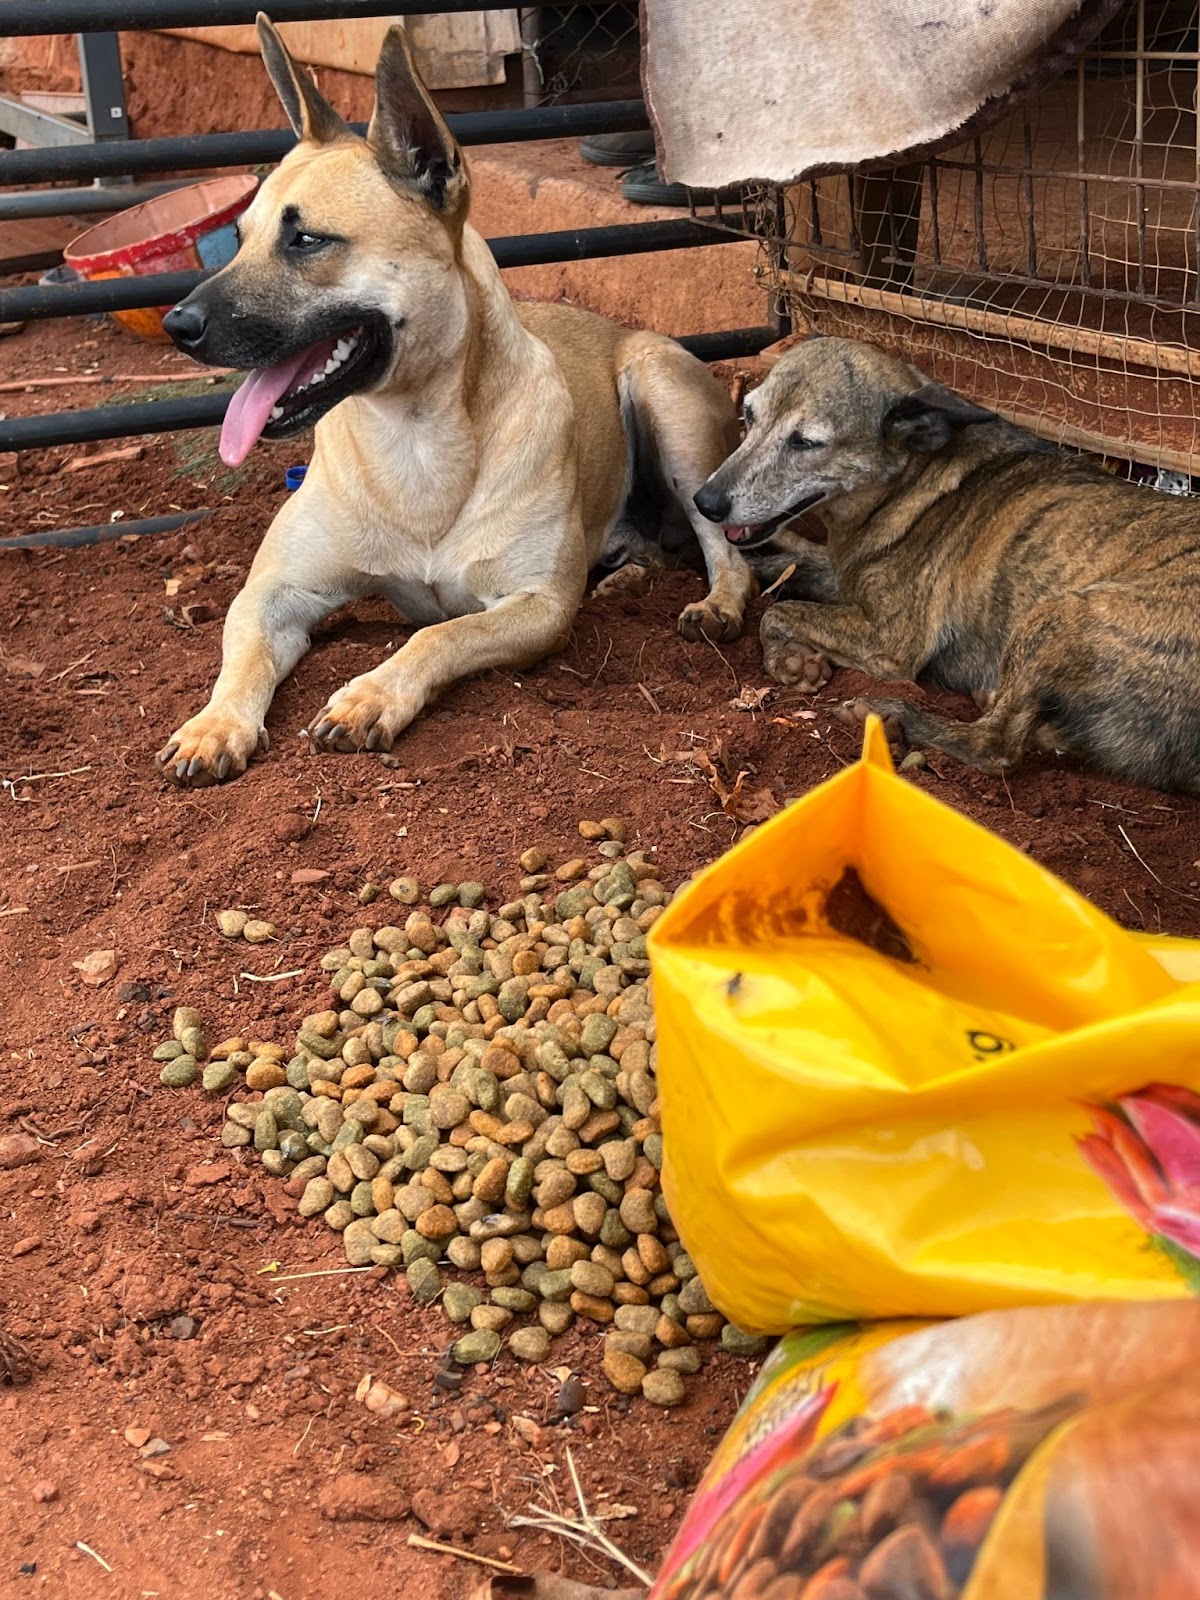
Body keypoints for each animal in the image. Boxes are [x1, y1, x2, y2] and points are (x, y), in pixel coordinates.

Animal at [155, 12, 748, 787]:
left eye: (307, 240)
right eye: (240, 236)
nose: (176, 325)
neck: (414, 437)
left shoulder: (535, 607)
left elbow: (440, 633)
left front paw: (371, 695)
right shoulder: (273, 593)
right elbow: (243, 657)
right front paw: (214, 725)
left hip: (665, 399)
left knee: (723, 545)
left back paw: (714, 601)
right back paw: (629, 575)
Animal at [694, 336, 1200, 793]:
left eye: (805, 442)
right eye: (749, 415)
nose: (705, 502)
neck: (909, 480)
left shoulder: (891, 641)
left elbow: (780, 612)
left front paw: (789, 660)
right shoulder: (847, 577)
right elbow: (797, 568)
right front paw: (755, 584)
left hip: (1057, 616)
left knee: (993, 746)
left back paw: (893, 713)